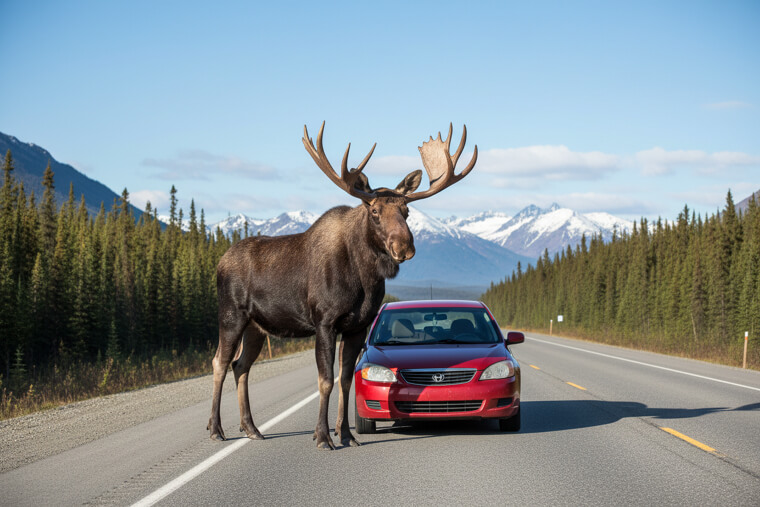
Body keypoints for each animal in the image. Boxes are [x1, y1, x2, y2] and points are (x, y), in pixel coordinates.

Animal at [207, 122, 478, 449]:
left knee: (240, 366)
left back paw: (251, 427)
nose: (404, 247)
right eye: (374, 212)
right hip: (231, 315)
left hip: (257, 327)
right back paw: (216, 428)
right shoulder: (325, 322)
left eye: (406, 211)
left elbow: (346, 379)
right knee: (219, 362)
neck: (363, 279)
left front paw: (346, 433)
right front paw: (324, 436)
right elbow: (326, 380)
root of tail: (220, 262)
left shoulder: (357, 326)